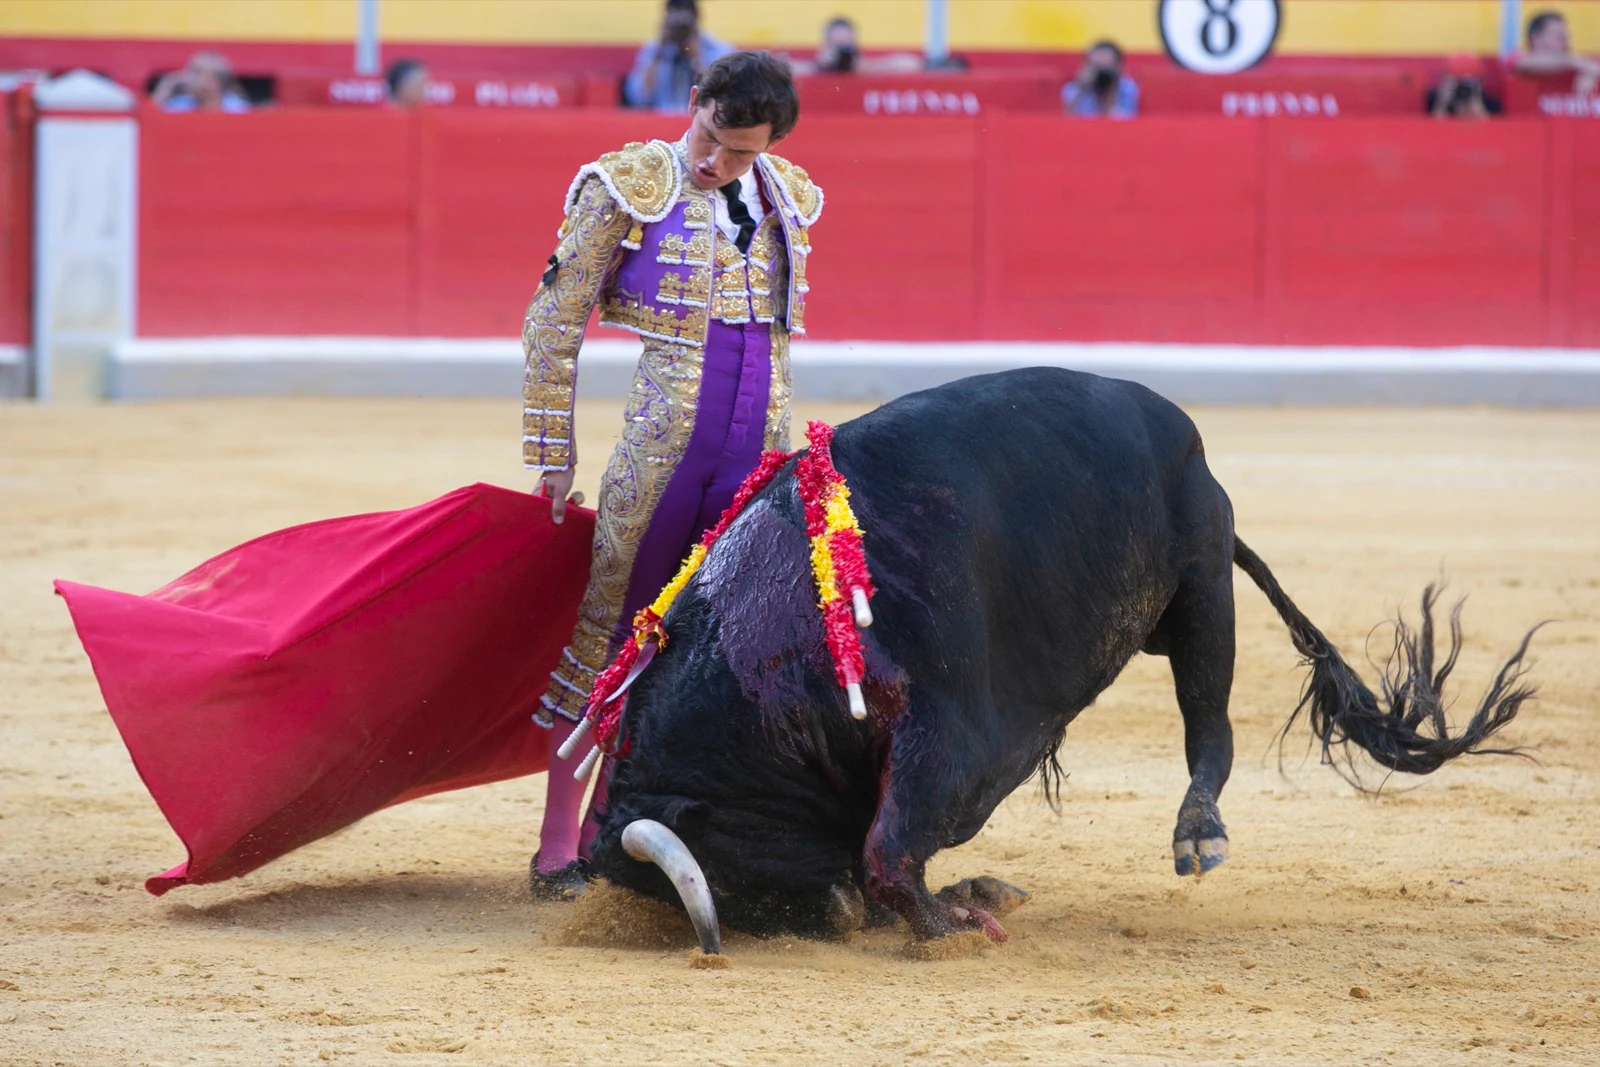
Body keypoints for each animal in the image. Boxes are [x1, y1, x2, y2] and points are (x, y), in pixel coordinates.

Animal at [588, 369, 1536, 953]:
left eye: (734, 869)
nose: (833, 918)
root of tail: (1178, 430)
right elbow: (890, 847)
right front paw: (970, 896)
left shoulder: (947, 741)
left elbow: (889, 849)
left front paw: (952, 926)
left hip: (1203, 585)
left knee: (1212, 729)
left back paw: (1200, 834)